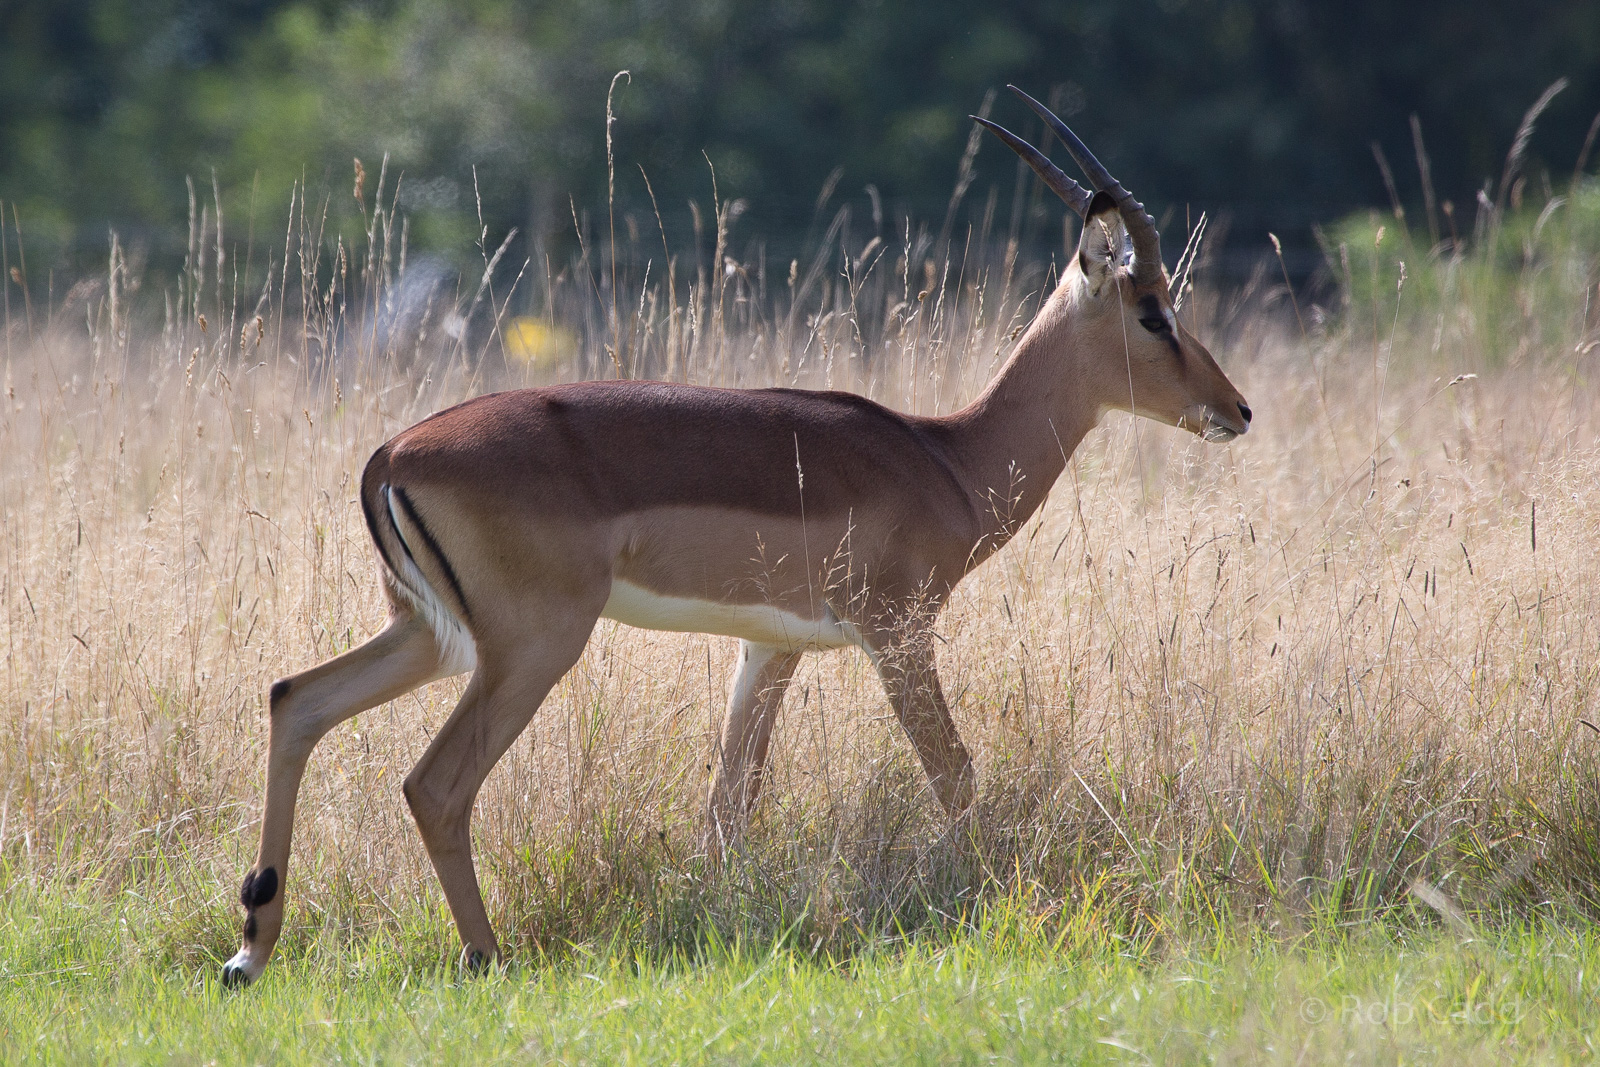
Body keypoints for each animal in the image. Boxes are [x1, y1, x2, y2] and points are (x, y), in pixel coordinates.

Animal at [222, 86, 1251, 987]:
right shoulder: (897, 632)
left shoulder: (770, 646)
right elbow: (954, 772)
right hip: (529, 647)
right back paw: (485, 956)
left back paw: (249, 952)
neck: (946, 457)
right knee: (433, 783)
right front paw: (991, 900)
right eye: (1154, 312)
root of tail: (390, 454)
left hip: (432, 636)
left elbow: (730, 804)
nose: (1235, 409)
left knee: (295, 699)